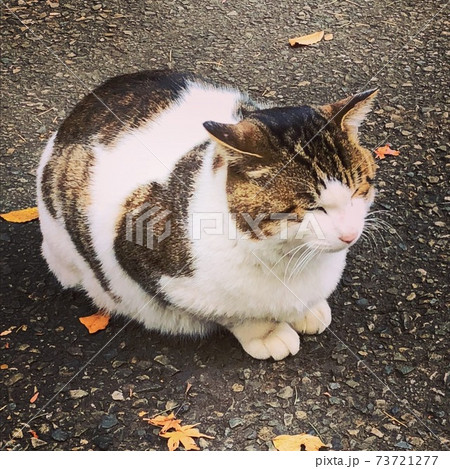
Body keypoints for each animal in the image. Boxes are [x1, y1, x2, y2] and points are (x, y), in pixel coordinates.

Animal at [37, 71, 378, 360]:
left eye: (359, 190)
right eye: (311, 207)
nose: (350, 233)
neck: (288, 257)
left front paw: (307, 309)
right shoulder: (140, 252)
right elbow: (233, 313)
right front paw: (266, 331)